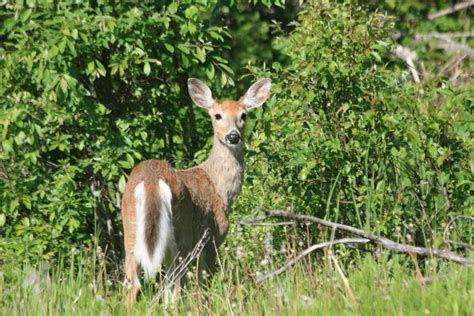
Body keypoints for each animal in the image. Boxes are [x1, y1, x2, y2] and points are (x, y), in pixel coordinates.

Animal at [120, 77, 272, 306]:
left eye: (243, 115)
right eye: (217, 115)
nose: (233, 136)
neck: (220, 189)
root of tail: (152, 181)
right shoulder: (212, 239)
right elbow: (204, 285)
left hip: (131, 230)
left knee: (135, 285)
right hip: (181, 234)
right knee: (175, 288)